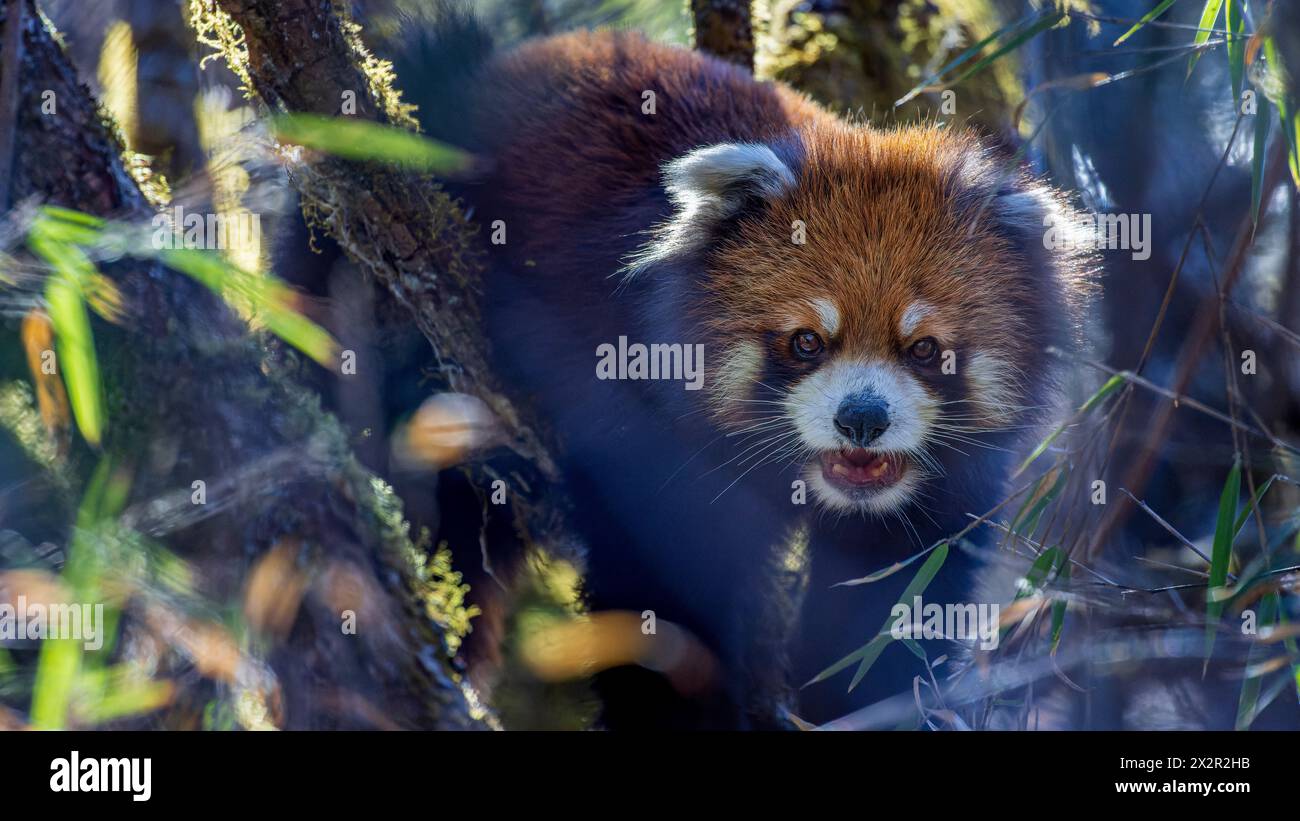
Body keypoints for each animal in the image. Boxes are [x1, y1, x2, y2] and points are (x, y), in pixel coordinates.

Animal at [397, 22, 1097, 727]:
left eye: (924, 349)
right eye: (807, 341)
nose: (862, 418)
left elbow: (890, 610)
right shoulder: (643, 428)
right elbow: (657, 595)